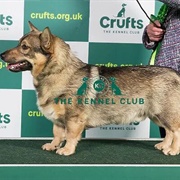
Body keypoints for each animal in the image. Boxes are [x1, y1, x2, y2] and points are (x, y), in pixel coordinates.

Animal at [1, 21, 180, 156]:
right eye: (19, 43)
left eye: (24, 47)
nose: (1, 55)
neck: (58, 71)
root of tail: (174, 73)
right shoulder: (58, 120)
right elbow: (57, 134)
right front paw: (53, 145)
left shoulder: (73, 119)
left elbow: (70, 135)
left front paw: (66, 150)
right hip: (156, 115)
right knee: (169, 131)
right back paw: (164, 146)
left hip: (164, 113)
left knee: (176, 130)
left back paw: (173, 150)